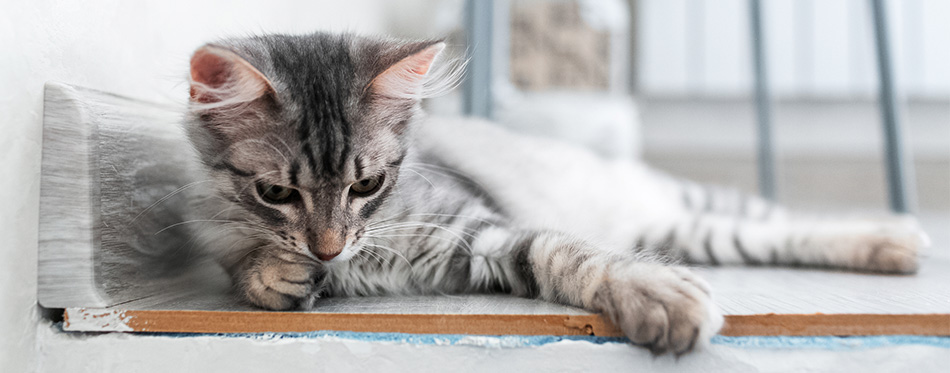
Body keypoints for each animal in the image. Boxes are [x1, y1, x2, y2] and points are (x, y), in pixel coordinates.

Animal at [184, 31, 928, 352]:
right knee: (770, 232)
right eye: (276, 192)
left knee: (789, 218)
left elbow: (574, 254)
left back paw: (900, 236)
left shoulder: (477, 228)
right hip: (691, 231)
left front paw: (658, 295)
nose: (329, 249)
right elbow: (245, 266)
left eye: (368, 182)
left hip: (689, 209)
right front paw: (274, 273)